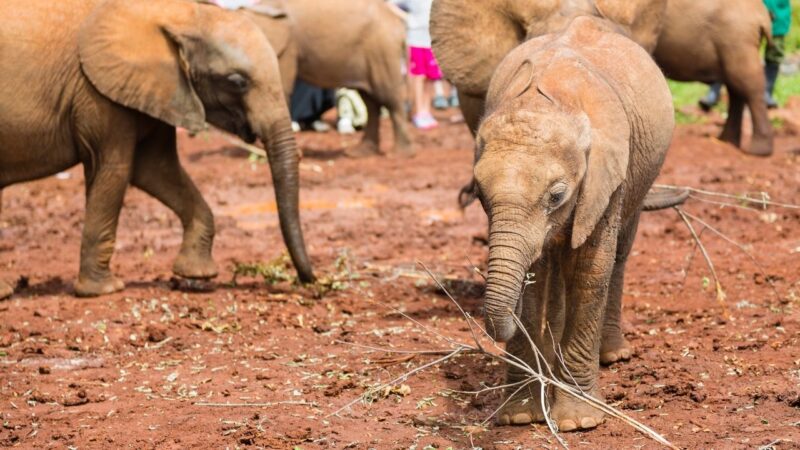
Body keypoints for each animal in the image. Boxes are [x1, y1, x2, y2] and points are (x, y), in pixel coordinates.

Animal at [0, 0, 315, 300]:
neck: (179, 13)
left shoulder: (160, 89)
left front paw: (197, 274)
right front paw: (104, 290)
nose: (310, 280)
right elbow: (115, 169)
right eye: (237, 82)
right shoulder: (97, 92)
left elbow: (156, 169)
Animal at [240, 0, 412, 157]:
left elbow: (281, 89)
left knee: (389, 99)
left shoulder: (287, 48)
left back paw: (400, 155)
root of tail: (398, 21)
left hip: (382, 50)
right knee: (371, 102)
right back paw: (358, 153)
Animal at [461, 17, 675, 430]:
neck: (545, 101)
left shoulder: (606, 174)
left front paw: (579, 422)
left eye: (557, 196)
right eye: (479, 194)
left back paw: (610, 356)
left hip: (639, 177)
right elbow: (535, 278)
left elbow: (590, 270)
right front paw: (518, 416)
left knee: (618, 254)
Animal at [653, 0, 774, 156]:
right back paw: (726, 141)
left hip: (737, 37)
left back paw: (757, 151)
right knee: (735, 87)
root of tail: (763, 15)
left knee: (747, 83)